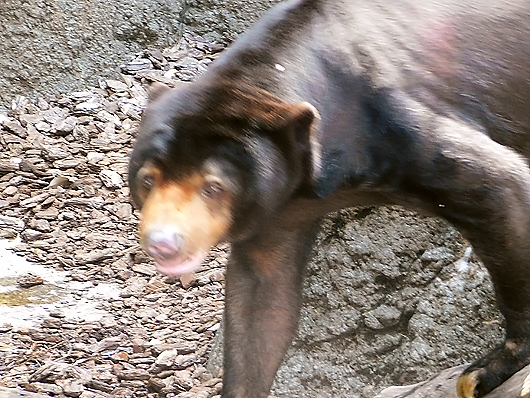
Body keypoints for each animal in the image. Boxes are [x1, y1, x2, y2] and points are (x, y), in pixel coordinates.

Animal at [127, 0, 528, 398]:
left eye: (213, 187)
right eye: (148, 180)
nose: (163, 243)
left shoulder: (395, 120)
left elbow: (499, 187)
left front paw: (483, 373)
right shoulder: (277, 209)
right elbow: (261, 301)